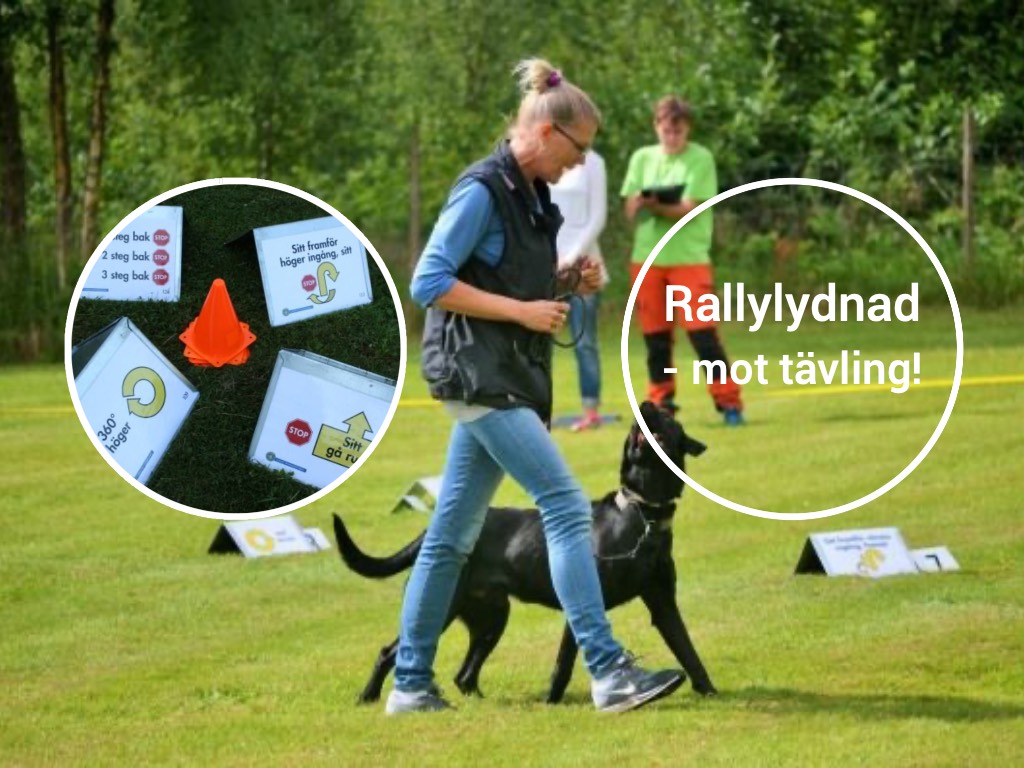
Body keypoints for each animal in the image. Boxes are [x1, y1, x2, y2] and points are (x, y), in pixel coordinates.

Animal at [333, 400, 717, 703]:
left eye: (666, 417)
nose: (648, 402)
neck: (642, 512)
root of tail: (431, 534)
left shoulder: (663, 603)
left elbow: (689, 652)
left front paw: (710, 692)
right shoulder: (582, 602)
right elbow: (564, 664)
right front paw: (554, 702)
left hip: (492, 619)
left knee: (464, 675)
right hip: (447, 608)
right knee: (390, 652)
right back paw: (368, 697)